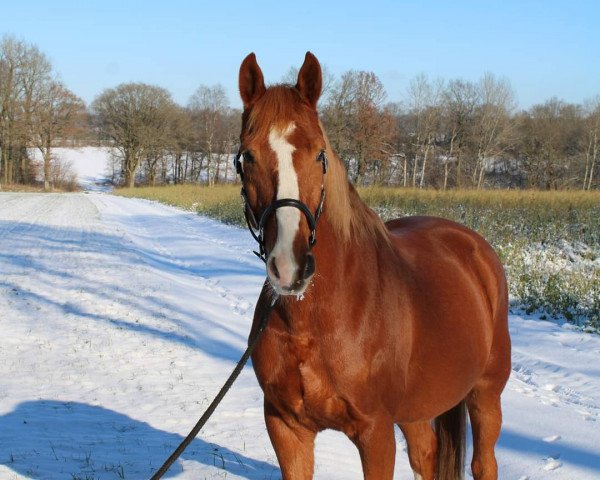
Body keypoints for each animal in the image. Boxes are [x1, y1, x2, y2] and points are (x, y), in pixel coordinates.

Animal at [234, 52, 510, 480]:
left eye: (319, 153)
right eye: (248, 155)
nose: (289, 265)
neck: (318, 320)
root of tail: (473, 246)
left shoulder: (375, 432)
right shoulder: (286, 427)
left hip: (485, 393)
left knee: (484, 463)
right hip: (417, 409)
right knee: (427, 454)